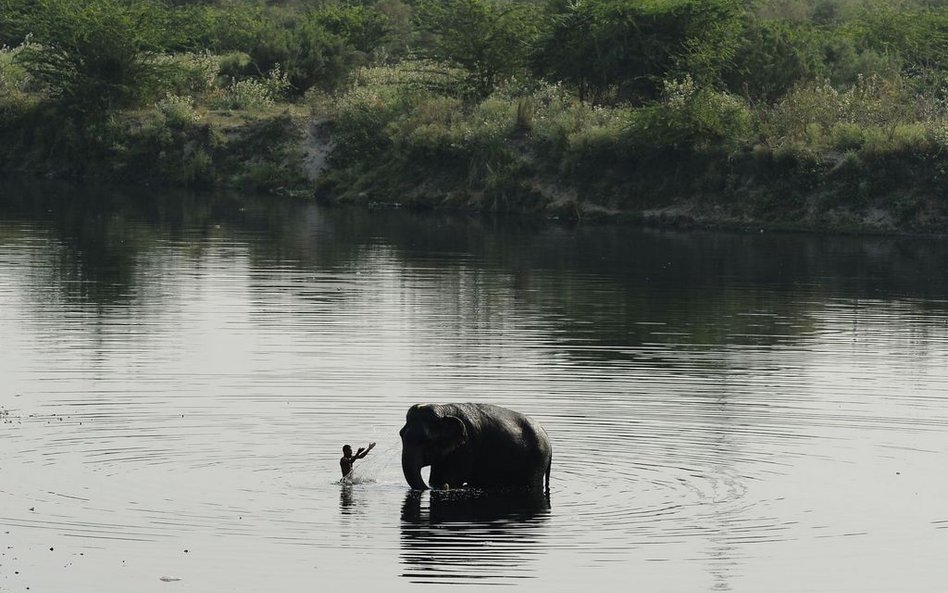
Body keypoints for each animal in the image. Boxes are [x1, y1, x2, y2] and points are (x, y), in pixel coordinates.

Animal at [398, 402, 548, 490]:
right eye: (400, 434)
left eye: (426, 440)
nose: (445, 487)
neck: (444, 409)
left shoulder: (467, 447)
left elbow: (452, 478)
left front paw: (446, 483)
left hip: (538, 460)